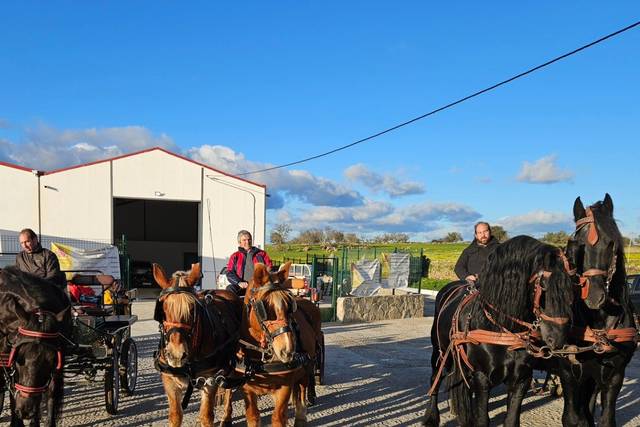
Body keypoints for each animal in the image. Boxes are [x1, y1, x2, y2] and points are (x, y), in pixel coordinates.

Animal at [152, 264, 242, 427]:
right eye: (163, 309)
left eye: (192, 309)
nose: (176, 355)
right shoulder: (169, 381)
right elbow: (175, 416)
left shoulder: (210, 379)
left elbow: (207, 416)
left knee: (228, 388)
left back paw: (226, 416)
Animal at [221, 262, 322, 426]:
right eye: (264, 308)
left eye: (289, 306)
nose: (287, 350)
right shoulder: (248, 389)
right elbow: (253, 416)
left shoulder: (284, 387)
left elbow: (278, 418)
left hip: (307, 367)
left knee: (302, 394)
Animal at [422, 236, 576, 426]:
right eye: (544, 286)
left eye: (571, 287)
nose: (559, 337)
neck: (502, 330)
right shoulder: (482, 378)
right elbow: (482, 419)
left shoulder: (522, 379)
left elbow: (511, 419)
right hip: (441, 352)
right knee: (435, 380)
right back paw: (431, 417)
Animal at [556, 195, 640, 427]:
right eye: (577, 244)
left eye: (611, 243)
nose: (593, 297)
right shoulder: (569, 371)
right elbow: (572, 418)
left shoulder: (614, 374)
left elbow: (605, 418)